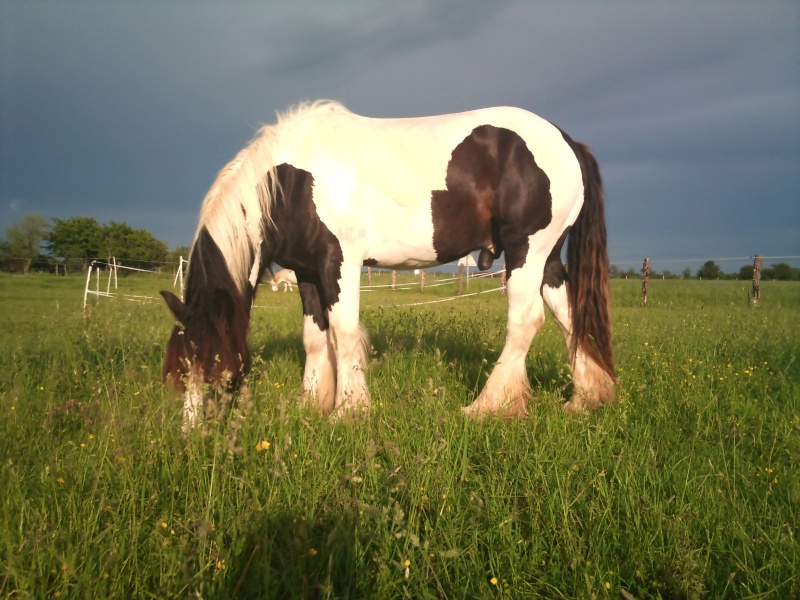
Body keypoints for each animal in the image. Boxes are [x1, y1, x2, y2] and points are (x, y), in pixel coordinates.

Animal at [159, 103, 616, 432]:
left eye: (216, 364)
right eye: (180, 367)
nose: (192, 434)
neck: (291, 180)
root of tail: (568, 142)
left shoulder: (339, 262)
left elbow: (343, 333)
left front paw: (348, 412)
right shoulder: (307, 272)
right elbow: (314, 338)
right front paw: (312, 403)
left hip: (526, 251)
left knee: (525, 321)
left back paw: (487, 406)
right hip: (547, 260)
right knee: (569, 316)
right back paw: (586, 399)